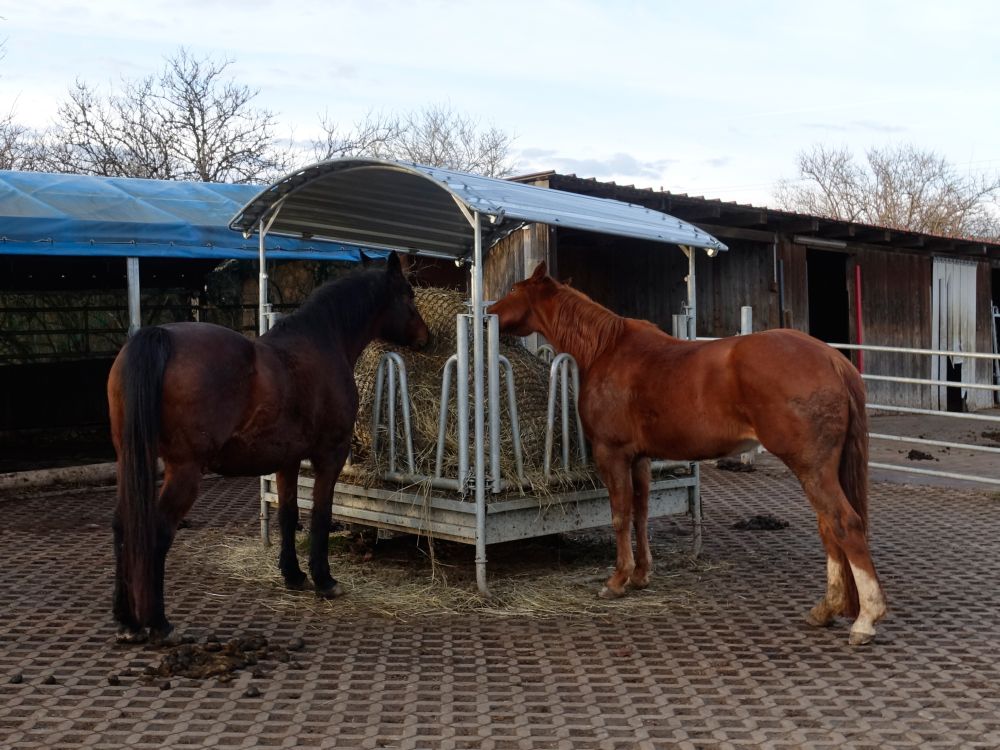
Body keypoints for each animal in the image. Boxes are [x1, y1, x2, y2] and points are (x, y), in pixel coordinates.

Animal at [109, 256, 430, 644]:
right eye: (408, 294)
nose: (427, 338)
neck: (322, 342)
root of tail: (159, 337)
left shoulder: (287, 460)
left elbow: (288, 515)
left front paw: (293, 575)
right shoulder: (330, 455)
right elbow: (320, 514)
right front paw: (324, 580)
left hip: (130, 461)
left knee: (123, 525)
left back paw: (127, 621)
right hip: (183, 470)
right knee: (157, 531)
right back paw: (158, 622)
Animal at [488, 262, 888, 648]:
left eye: (513, 289)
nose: (488, 313)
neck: (607, 350)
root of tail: (832, 359)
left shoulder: (611, 454)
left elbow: (619, 516)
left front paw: (617, 580)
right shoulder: (640, 459)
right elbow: (641, 514)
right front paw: (641, 575)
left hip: (811, 468)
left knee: (844, 524)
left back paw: (866, 619)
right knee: (829, 529)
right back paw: (826, 609)